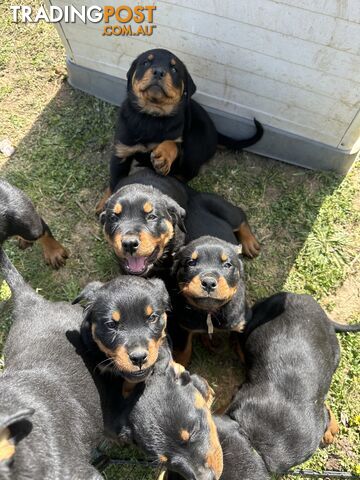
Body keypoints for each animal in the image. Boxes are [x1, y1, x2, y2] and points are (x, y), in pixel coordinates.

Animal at [97, 48, 262, 210]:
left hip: (194, 147)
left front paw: (163, 157)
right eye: (146, 62)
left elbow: (172, 144)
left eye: (174, 69)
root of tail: (216, 133)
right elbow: (115, 182)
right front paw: (105, 202)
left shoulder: (179, 145)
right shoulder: (121, 152)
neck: (151, 117)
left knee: (187, 173)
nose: (158, 72)